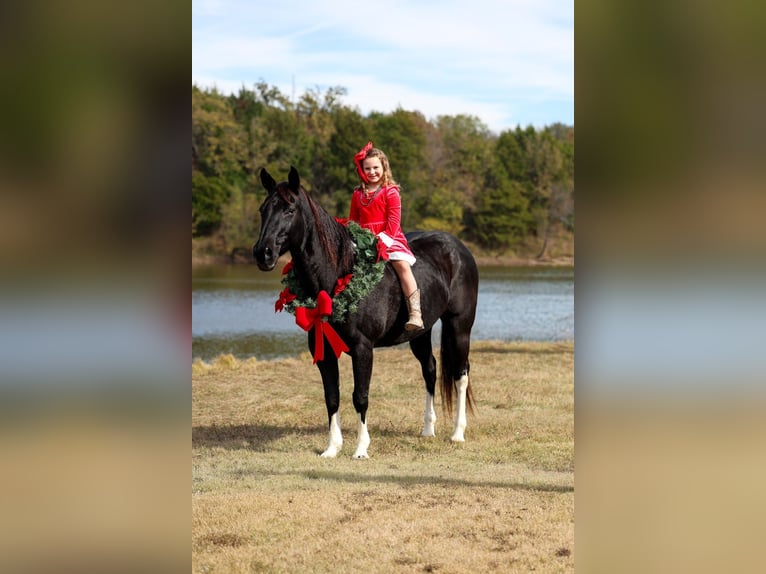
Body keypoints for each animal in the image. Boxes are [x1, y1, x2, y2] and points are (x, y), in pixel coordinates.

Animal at [253, 166, 478, 458]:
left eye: (289, 210)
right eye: (263, 209)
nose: (263, 253)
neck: (339, 274)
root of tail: (459, 248)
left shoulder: (363, 348)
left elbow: (360, 396)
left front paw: (361, 448)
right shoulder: (324, 350)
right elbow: (332, 397)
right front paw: (332, 448)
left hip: (459, 325)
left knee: (460, 374)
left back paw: (457, 433)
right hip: (421, 333)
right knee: (430, 369)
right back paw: (428, 429)